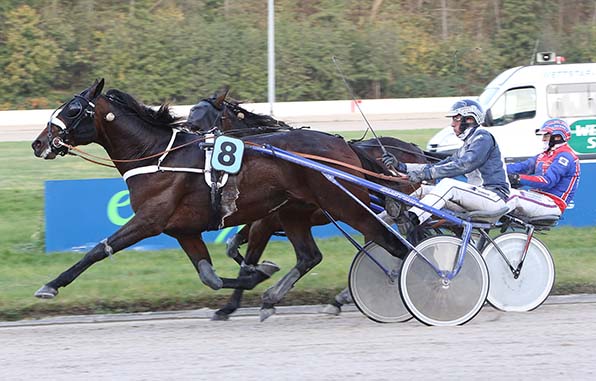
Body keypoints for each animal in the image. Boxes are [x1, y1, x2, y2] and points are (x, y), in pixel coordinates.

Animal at [30, 78, 408, 318]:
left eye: (73, 109)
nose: (38, 142)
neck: (158, 156)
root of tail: (346, 146)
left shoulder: (150, 220)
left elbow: (98, 250)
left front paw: (50, 285)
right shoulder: (183, 229)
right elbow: (210, 276)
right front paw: (257, 277)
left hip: (345, 204)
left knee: (393, 243)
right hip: (295, 211)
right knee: (310, 256)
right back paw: (275, 297)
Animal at [186, 88, 434, 318]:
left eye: (199, 125)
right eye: (188, 120)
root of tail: (414, 149)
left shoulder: (265, 223)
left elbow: (249, 258)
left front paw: (231, 304)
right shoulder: (263, 218)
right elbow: (233, 247)